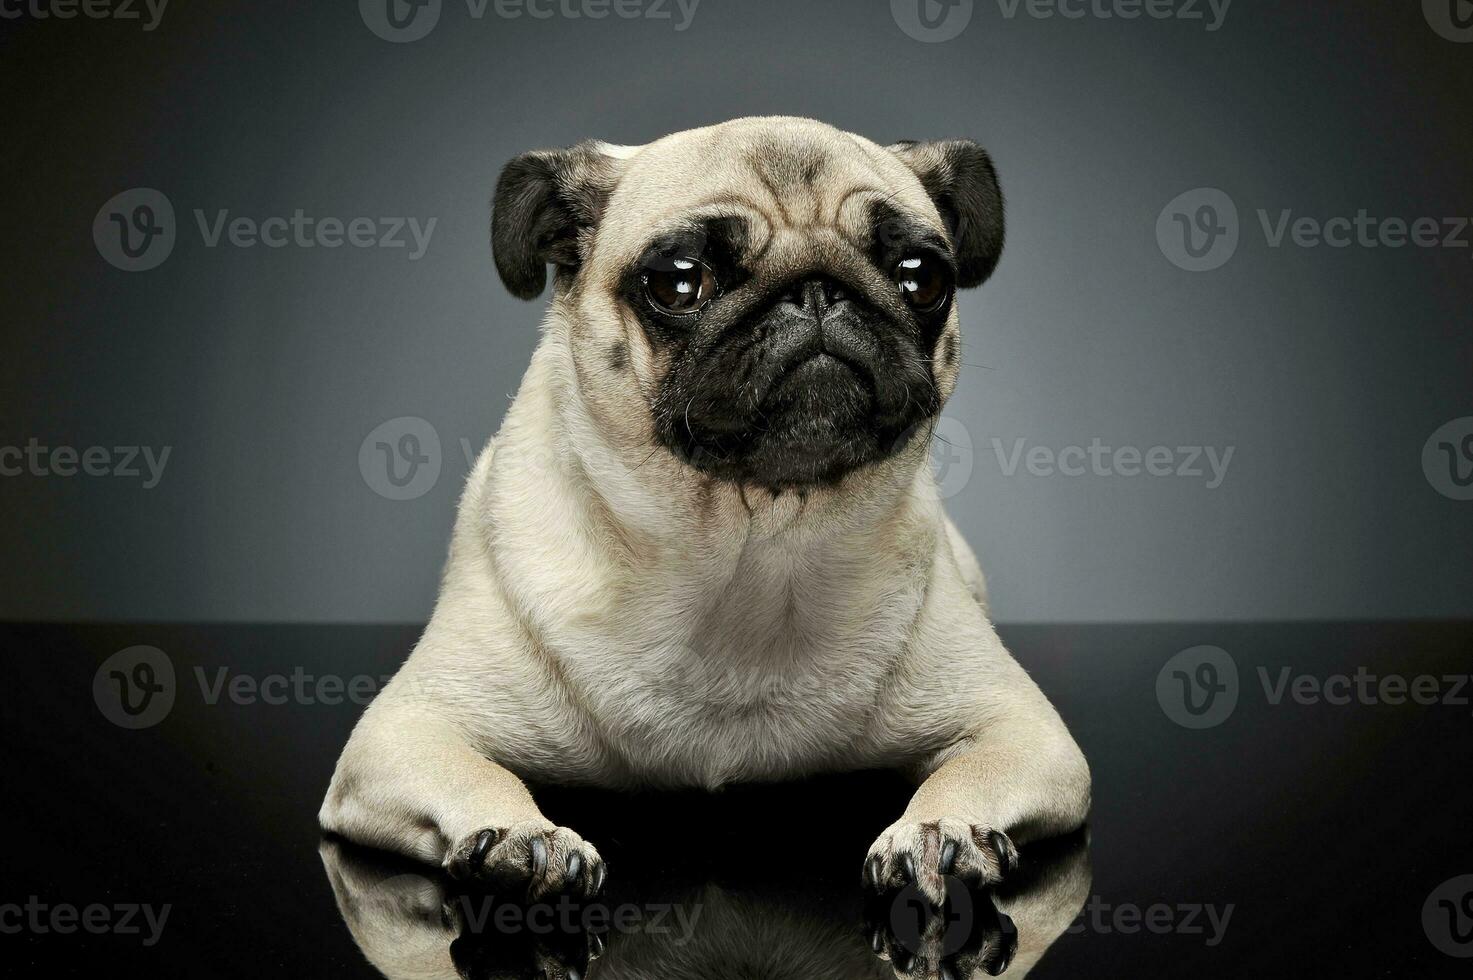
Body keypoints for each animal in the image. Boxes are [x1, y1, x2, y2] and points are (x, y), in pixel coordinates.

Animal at [316, 116, 1090, 907]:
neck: (749, 548)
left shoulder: (1022, 729)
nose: (817, 290)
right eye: (679, 281)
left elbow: (976, 770)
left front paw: (941, 830)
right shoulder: (406, 731)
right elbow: (474, 772)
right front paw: (519, 835)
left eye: (921, 274)